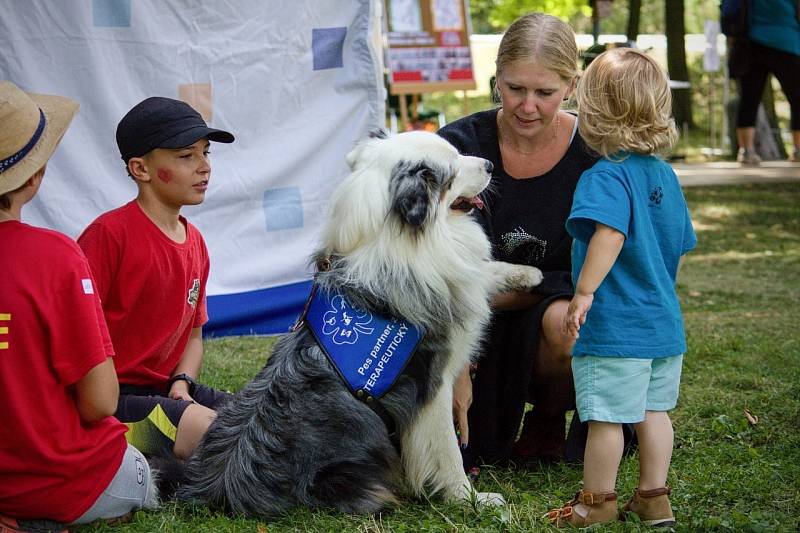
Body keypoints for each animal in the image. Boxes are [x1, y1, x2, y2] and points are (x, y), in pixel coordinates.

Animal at [180, 129, 544, 516]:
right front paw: (471, 499)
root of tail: (220, 492)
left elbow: (478, 270)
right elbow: (446, 451)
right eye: (451, 170)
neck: (402, 237)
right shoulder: (433, 381)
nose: (489, 165)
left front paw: (526, 274)